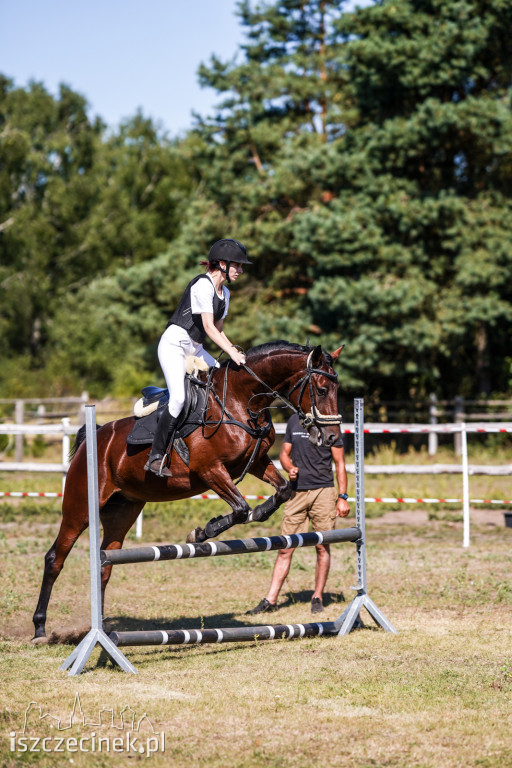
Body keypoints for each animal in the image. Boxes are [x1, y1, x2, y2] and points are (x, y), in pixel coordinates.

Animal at [33, 340, 344, 640]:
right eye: (321, 389)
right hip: (80, 508)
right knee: (55, 558)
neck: (239, 401)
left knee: (105, 563)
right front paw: (201, 532)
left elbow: (283, 491)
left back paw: (98, 626)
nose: (332, 438)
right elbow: (240, 508)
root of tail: (94, 436)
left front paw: (255, 514)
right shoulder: (210, 470)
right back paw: (40, 628)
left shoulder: (255, 462)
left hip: (123, 511)